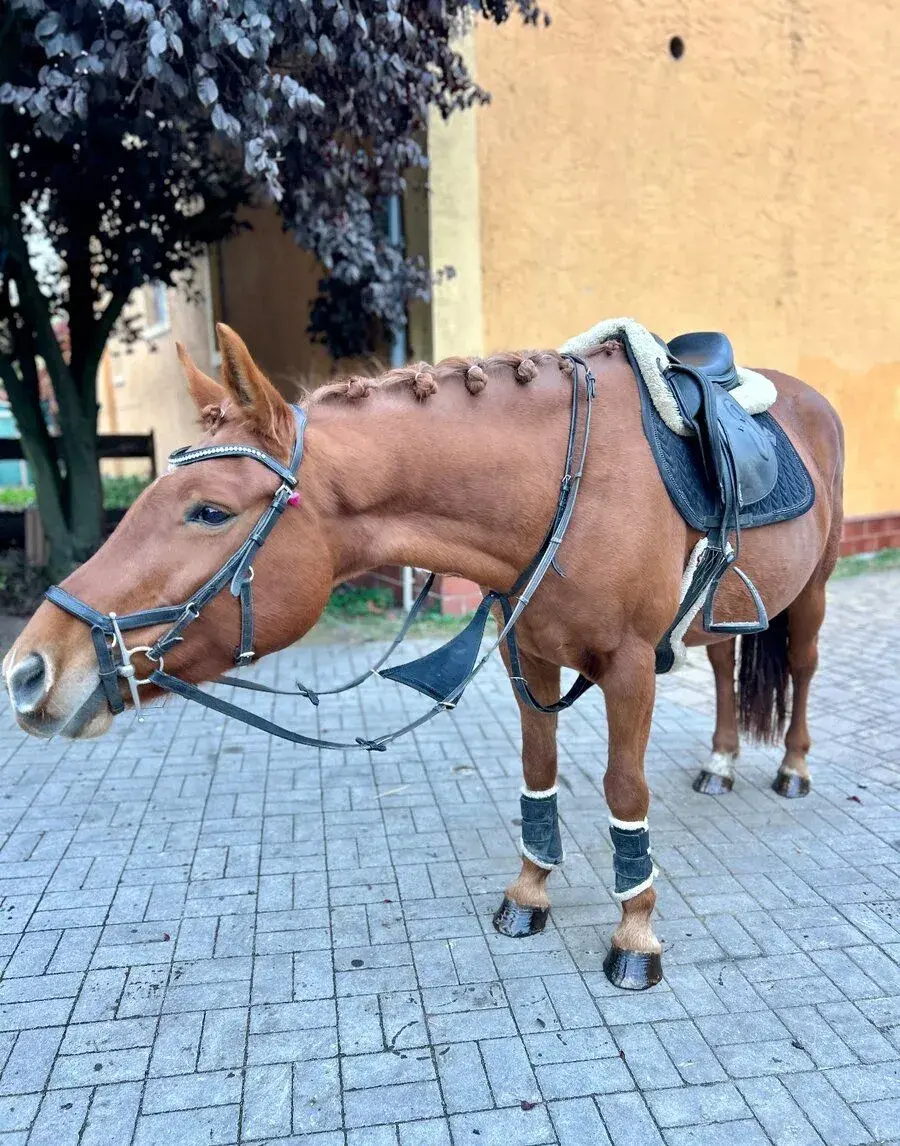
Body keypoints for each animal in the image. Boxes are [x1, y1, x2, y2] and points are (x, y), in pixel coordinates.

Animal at [2, 323, 844, 991]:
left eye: (208, 511)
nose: (29, 671)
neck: (571, 484)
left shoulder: (632, 667)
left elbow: (623, 790)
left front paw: (635, 932)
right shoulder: (529, 654)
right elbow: (538, 772)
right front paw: (529, 894)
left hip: (814, 591)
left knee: (801, 669)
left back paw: (793, 768)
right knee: (727, 671)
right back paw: (721, 763)